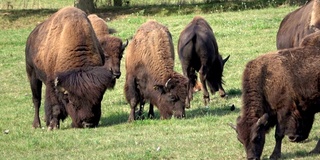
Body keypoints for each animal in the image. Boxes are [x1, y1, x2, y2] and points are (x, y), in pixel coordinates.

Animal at [235, 30, 320, 159]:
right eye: (241, 140)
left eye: (257, 137)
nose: (252, 158)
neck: (264, 78)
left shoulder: (283, 110)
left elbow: (278, 134)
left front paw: (274, 155)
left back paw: (315, 150)